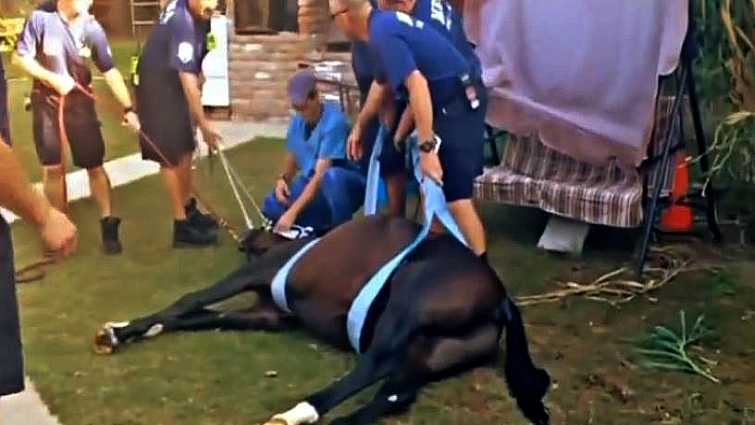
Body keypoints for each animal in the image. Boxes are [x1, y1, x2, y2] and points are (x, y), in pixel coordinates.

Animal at [93, 213, 551, 425]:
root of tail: (502, 299)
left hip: (409, 296)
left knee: (373, 364)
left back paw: (302, 410)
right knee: (396, 393)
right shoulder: (268, 316)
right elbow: (203, 316)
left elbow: (192, 299)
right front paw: (139, 329)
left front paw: (120, 332)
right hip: (433, 352)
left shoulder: (253, 275)